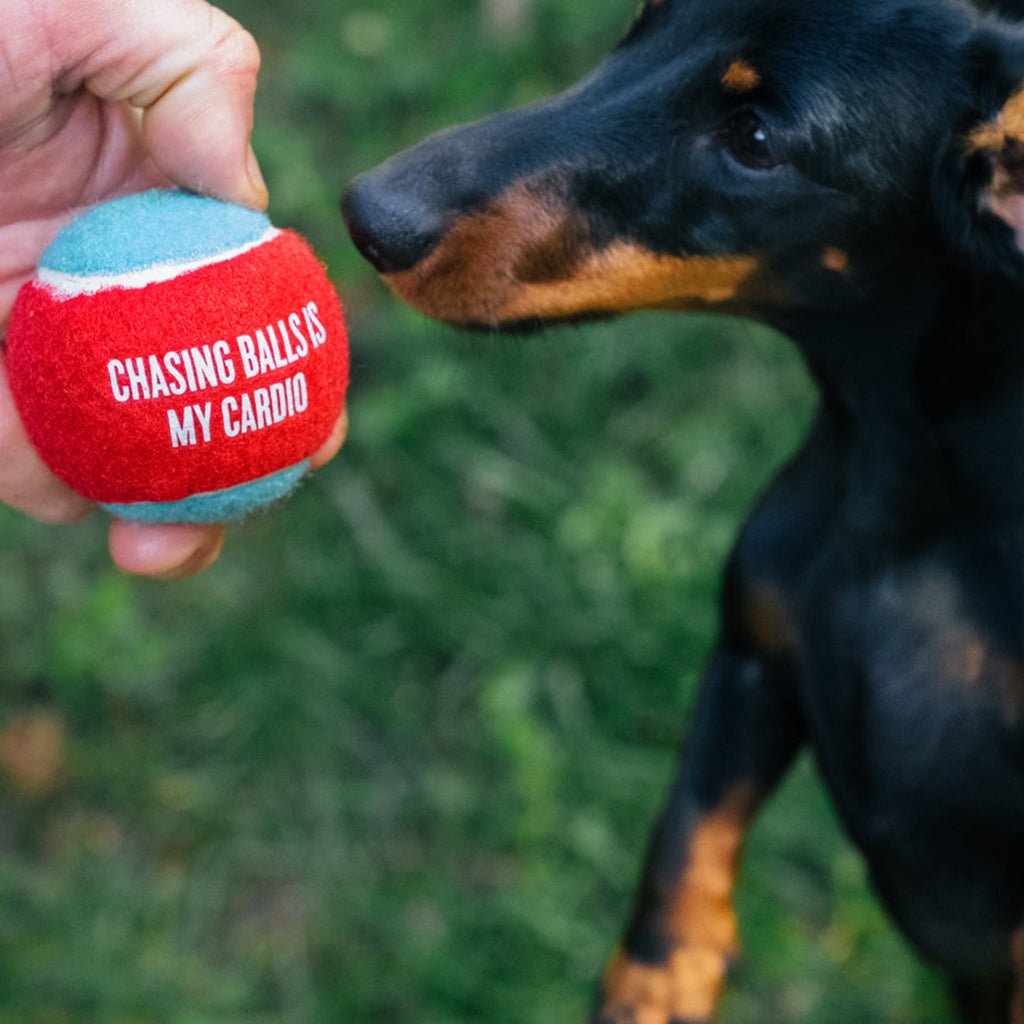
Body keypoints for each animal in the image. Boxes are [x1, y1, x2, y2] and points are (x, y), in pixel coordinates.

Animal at [342, 0, 1024, 1019]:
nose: (369, 215)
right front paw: (657, 977)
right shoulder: (751, 652)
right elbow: (691, 811)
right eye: (645, 21)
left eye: (755, 140)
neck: (908, 491)